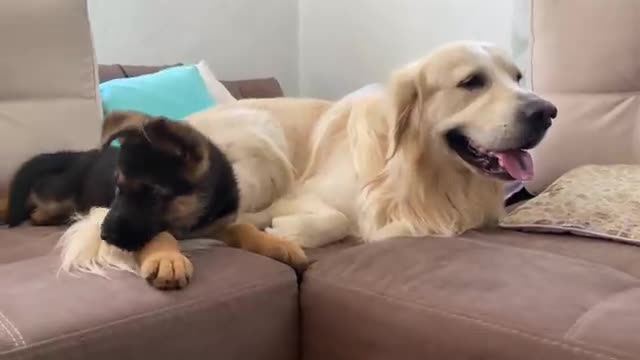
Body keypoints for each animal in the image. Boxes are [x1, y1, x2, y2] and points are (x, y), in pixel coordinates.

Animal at [1, 111, 308, 288]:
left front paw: (278, 243)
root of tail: (80, 155)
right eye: (117, 188)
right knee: (31, 199)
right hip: (58, 194)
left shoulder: (216, 225)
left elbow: (244, 227)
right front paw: (167, 259)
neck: (190, 217)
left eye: (151, 193)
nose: (104, 235)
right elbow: (160, 234)